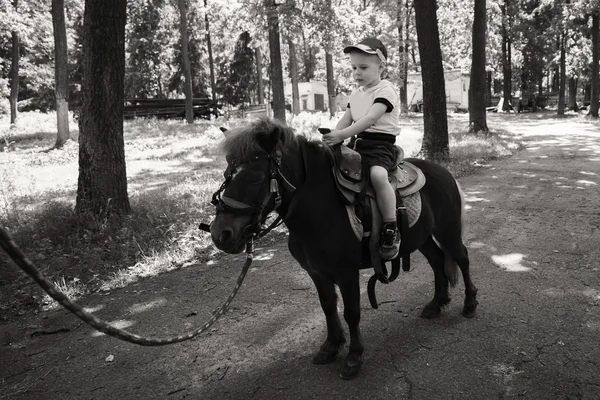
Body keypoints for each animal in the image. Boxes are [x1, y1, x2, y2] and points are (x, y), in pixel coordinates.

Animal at [211, 117, 478, 380]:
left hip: (448, 230)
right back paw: (436, 303)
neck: (319, 208)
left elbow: (351, 312)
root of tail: (443, 171)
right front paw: (331, 346)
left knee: (462, 258)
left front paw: (354, 357)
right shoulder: (316, 272)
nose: (220, 235)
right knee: (437, 260)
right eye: (226, 173)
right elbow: (328, 306)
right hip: (422, 238)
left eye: (255, 177)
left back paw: (469, 304)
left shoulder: (347, 273)